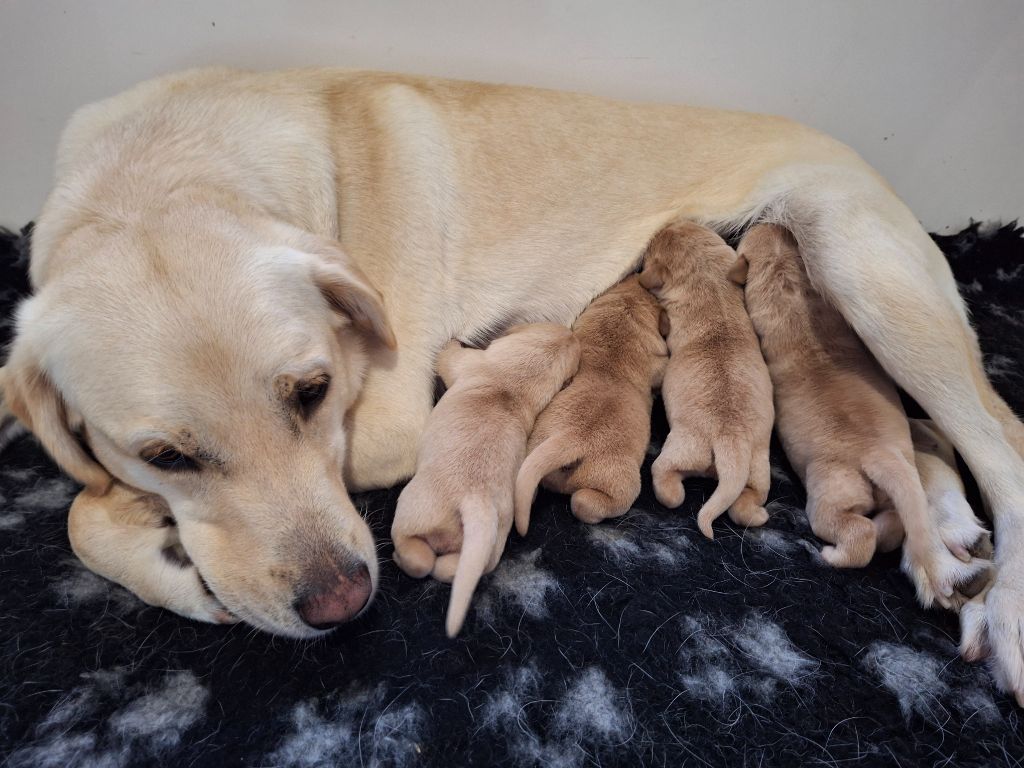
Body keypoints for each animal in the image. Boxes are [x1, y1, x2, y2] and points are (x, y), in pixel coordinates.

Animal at [389, 319, 581, 638]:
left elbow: (449, 356)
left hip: (412, 508)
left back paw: (402, 558)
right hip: (492, 544)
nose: (573, 333)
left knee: (419, 558)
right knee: (462, 567)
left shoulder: (468, 363)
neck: (513, 384)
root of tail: (474, 502)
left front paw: (450, 341)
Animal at [638, 221, 774, 540]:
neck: (709, 283)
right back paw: (758, 514)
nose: (667, 224)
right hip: (758, 467)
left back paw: (670, 491)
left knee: (665, 474)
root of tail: (731, 445)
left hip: (684, 448)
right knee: (746, 502)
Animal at [737, 225, 991, 610]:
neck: (789, 284)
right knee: (894, 523)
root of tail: (880, 455)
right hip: (890, 489)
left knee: (859, 531)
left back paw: (832, 555)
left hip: (830, 495)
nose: (777, 223)